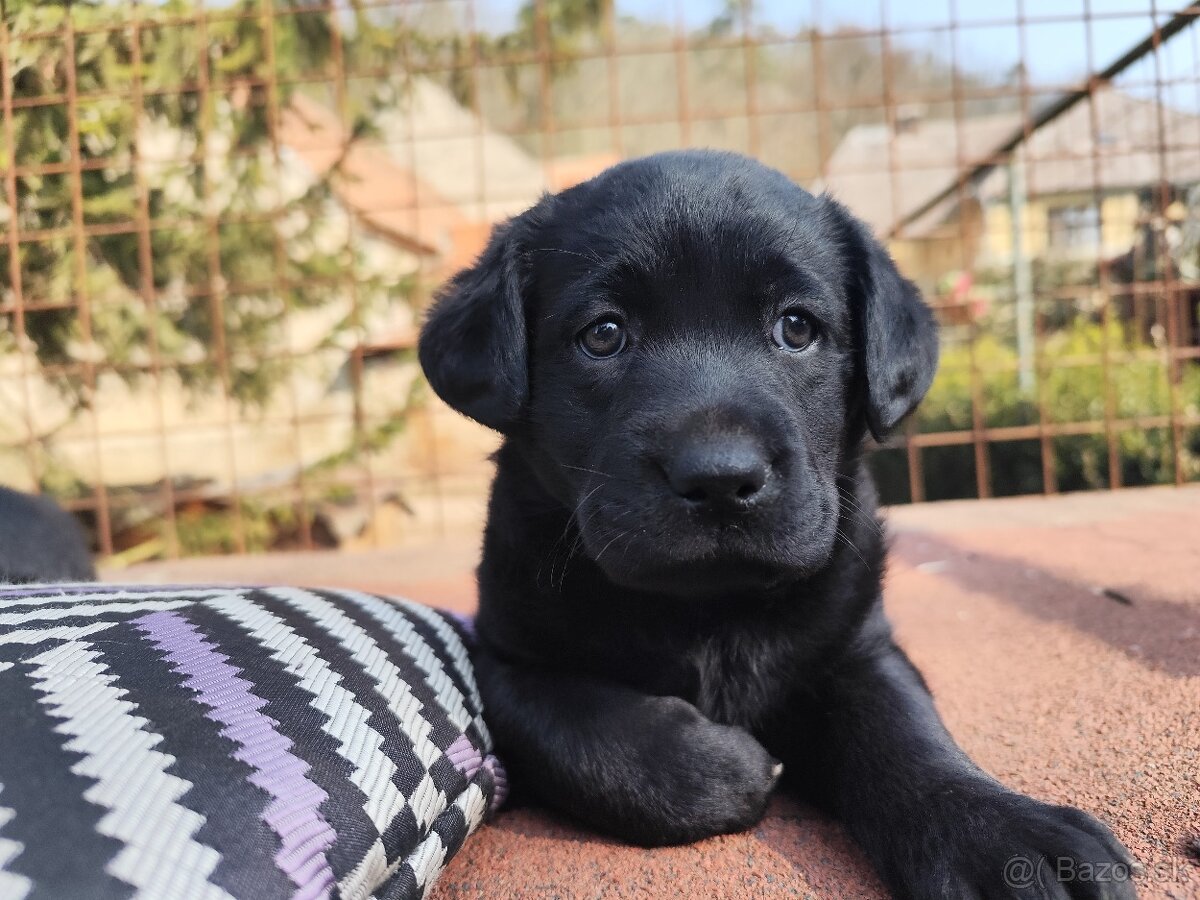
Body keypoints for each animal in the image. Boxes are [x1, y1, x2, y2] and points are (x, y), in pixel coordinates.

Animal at [417, 151, 1137, 897]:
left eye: (797, 328)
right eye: (604, 334)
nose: (718, 477)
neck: (709, 610)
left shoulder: (859, 647)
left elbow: (906, 732)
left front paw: (999, 834)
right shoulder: (503, 657)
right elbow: (573, 728)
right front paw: (723, 766)